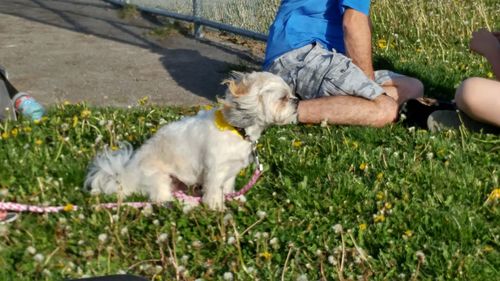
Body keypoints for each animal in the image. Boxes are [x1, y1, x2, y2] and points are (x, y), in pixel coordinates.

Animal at [85, 71, 296, 209]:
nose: (296, 100)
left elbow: (228, 187)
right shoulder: (215, 170)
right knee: (159, 196)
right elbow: (214, 190)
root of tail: (126, 175)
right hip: (159, 177)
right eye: (283, 98)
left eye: (290, 95)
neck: (238, 129)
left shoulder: (231, 171)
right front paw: (216, 207)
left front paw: (233, 198)